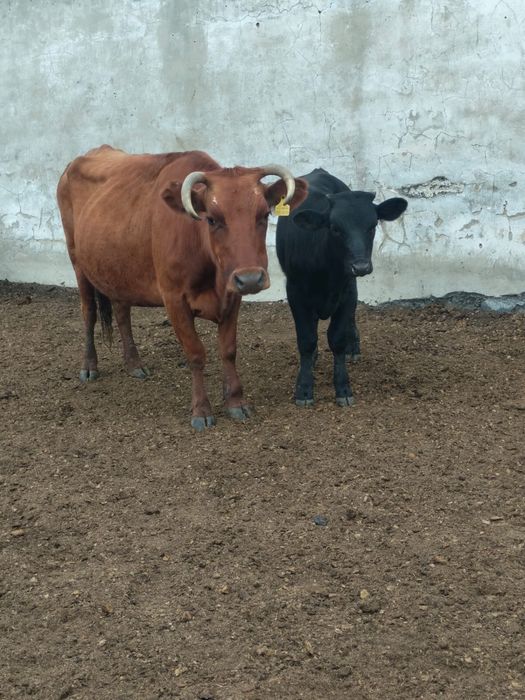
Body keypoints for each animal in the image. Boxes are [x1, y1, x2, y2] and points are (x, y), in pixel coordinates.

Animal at [57, 145, 307, 430]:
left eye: (264, 215)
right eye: (212, 219)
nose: (251, 278)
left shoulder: (232, 296)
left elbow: (228, 350)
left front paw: (235, 401)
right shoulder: (174, 300)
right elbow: (196, 353)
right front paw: (201, 410)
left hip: (118, 270)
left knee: (122, 313)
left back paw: (134, 363)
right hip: (78, 263)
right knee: (88, 313)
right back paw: (89, 366)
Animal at [276, 167, 407, 407]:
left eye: (372, 226)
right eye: (335, 228)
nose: (361, 266)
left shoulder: (347, 291)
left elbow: (337, 338)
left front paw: (343, 388)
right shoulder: (295, 293)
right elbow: (307, 340)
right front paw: (304, 389)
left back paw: (352, 347)